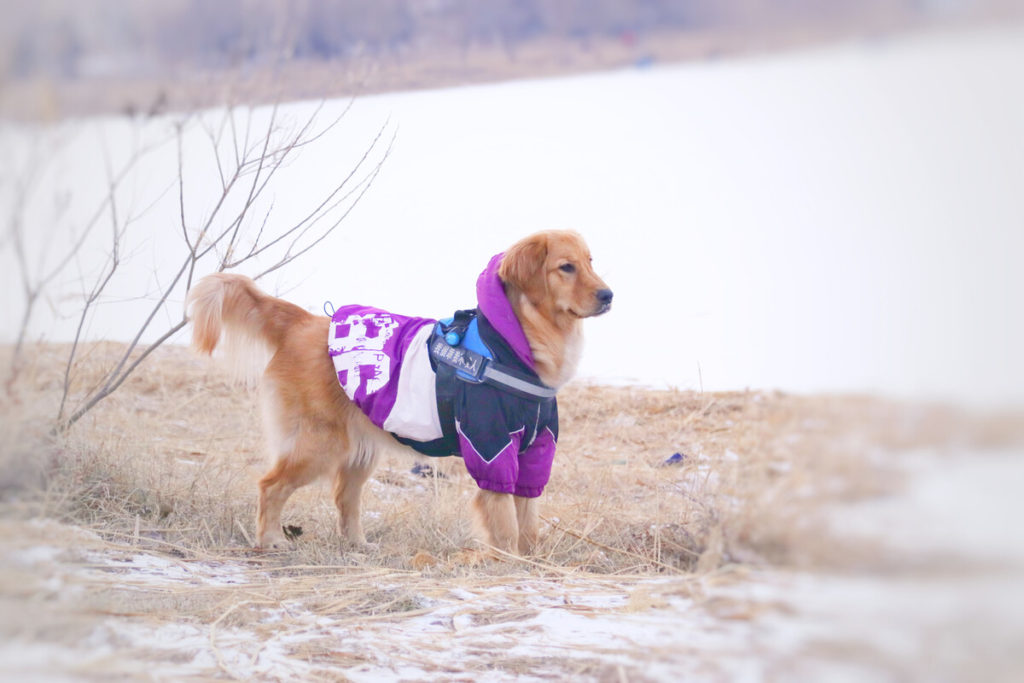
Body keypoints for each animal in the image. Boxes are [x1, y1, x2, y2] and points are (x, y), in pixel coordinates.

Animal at [188, 229, 610, 557]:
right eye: (566, 267)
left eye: (590, 261)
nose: (609, 295)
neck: (511, 344)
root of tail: (303, 322)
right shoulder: (491, 449)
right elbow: (505, 523)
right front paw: (509, 563)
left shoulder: (535, 451)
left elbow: (529, 521)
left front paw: (532, 561)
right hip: (319, 444)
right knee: (270, 486)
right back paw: (271, 540)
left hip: (360, 451)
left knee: (344, 498)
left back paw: (357, 544)